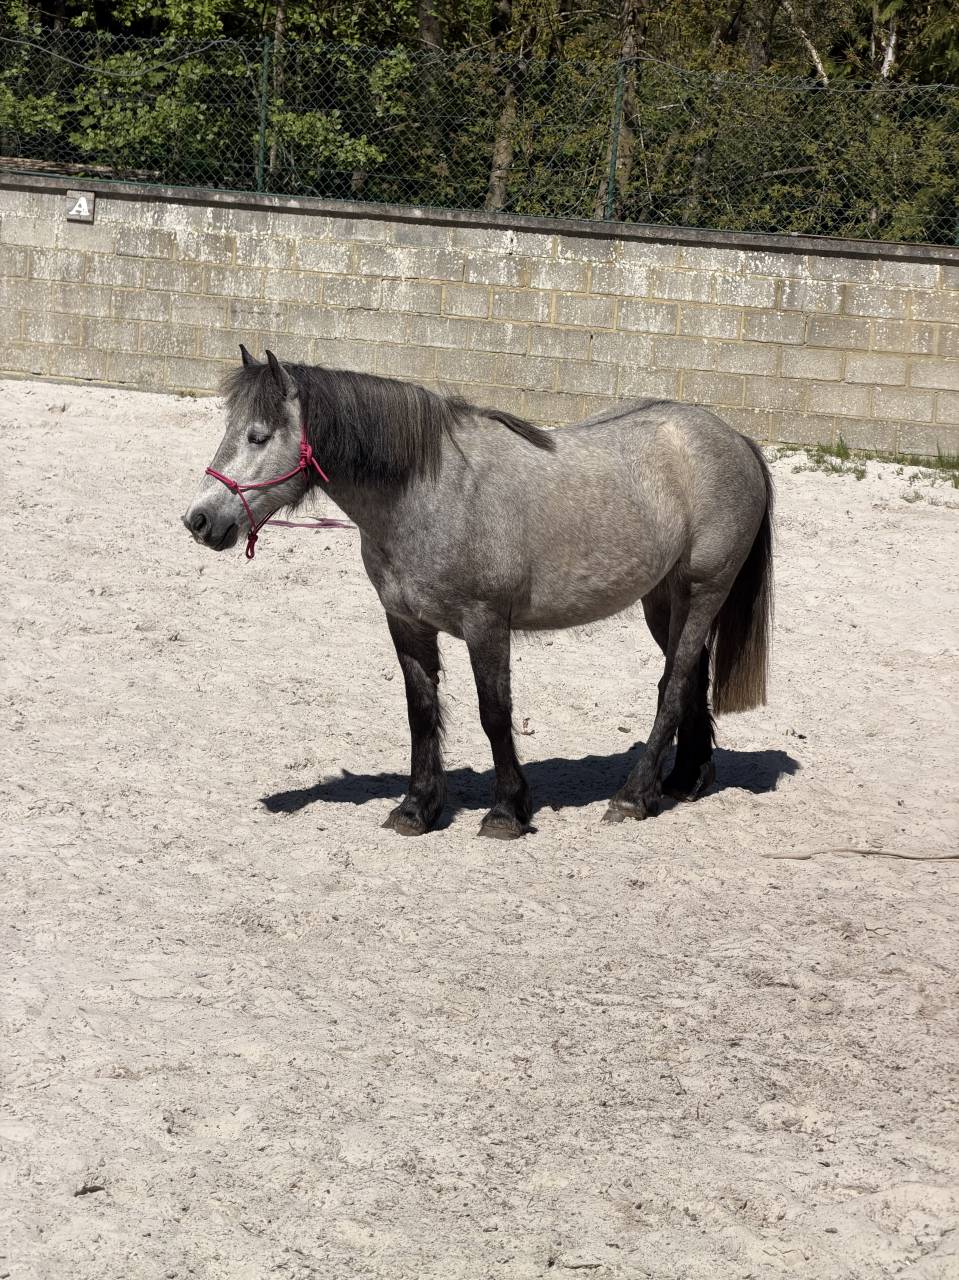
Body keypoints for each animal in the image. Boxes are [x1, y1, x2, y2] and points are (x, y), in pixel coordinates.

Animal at [184, 347, 773, 839]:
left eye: (258, 435)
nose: (200, 519)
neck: (431, 493)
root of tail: (734, 439)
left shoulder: (485, 624)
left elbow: (495, 713)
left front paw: (506, 811)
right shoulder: (406, 623)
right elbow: (421, 712)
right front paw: (416, 809)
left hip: (703, 591)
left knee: (673, 686)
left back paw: (633, 796)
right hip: (663, 600)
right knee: (689, 676)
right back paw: (683, 780)